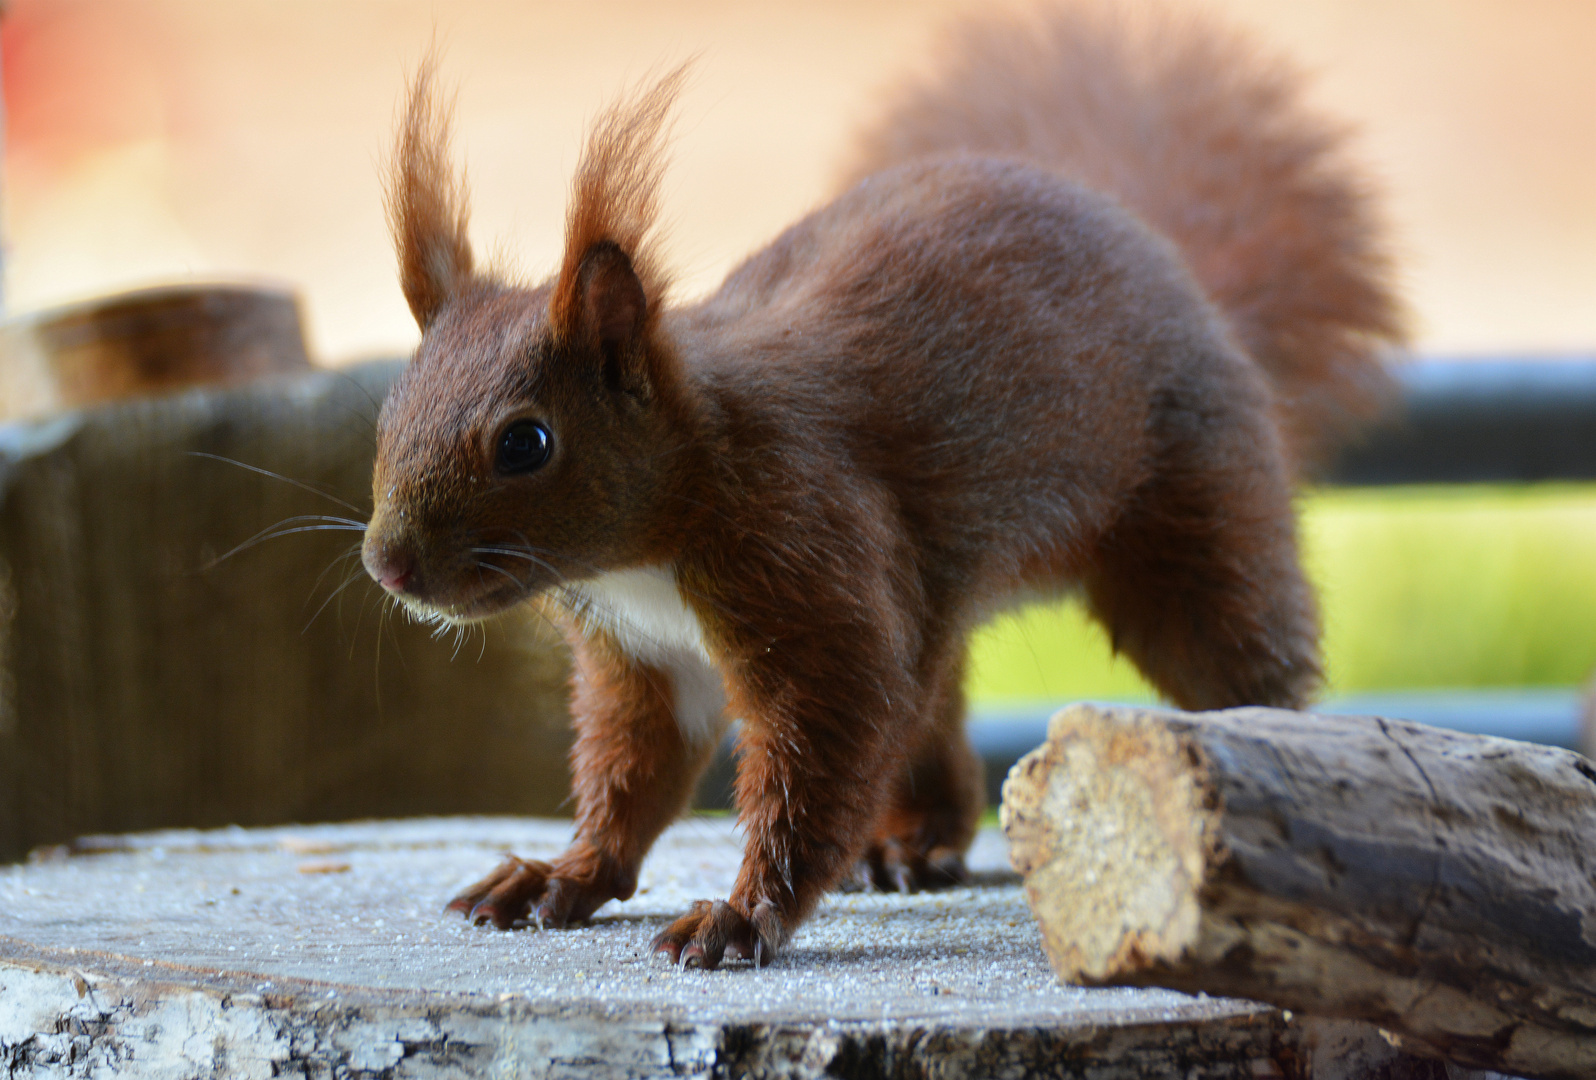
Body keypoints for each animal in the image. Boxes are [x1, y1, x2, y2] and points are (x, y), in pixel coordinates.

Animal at [359, 4, 1398, 969]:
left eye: (526, 442)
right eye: (389, 414)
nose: (387, 566)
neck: (660, 523)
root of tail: (1174, 264)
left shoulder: (806, 552)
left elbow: (819, 751)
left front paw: (741, 916)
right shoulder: (642, 655)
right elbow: (633, 775)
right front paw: (561, 875)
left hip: (1195, 505)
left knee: (1239, 652)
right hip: (926, 597)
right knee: (929, 711)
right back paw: (913, 843)